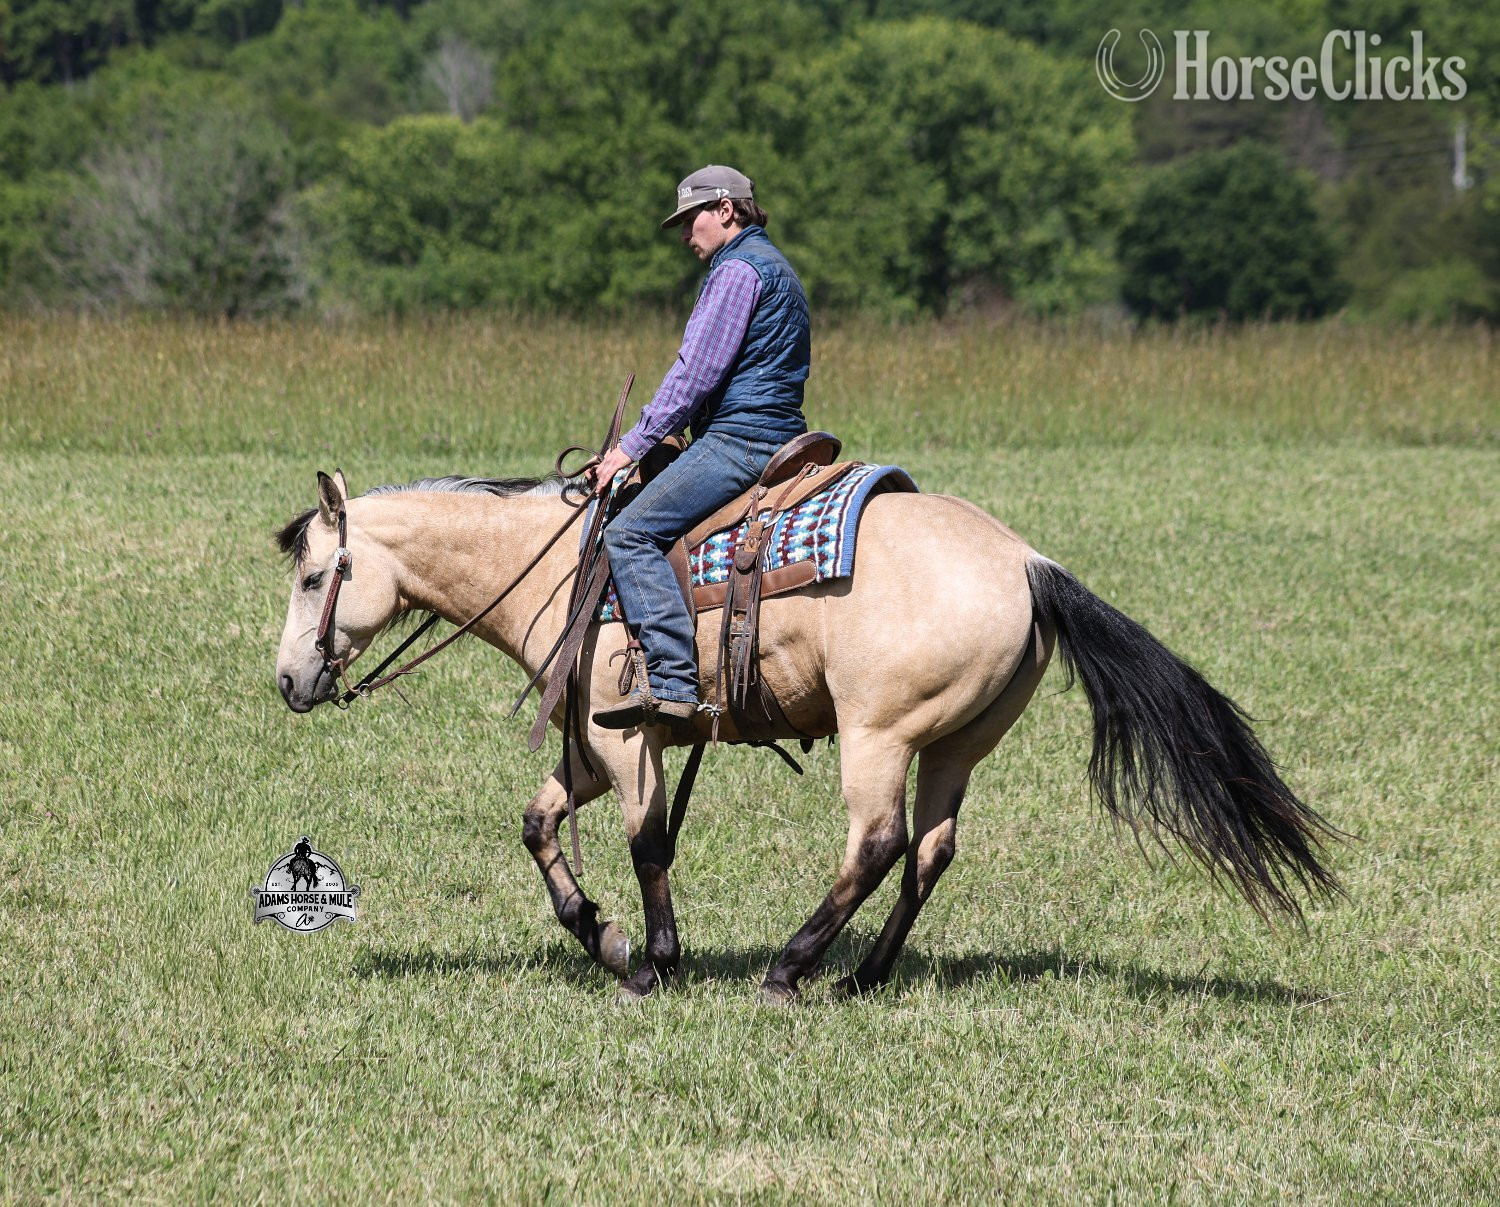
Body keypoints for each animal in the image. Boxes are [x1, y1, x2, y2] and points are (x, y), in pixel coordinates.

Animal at [274, 469, 1341, 1002]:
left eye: (315, 575)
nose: (288, 680)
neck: (561, 567)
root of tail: (1030, 563)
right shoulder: (587, 748)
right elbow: (539, 825)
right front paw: (603, 936)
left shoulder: (627, 741)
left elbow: (647, 840)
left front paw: (653, 961)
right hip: (958, 744)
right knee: (932, 848)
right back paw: (865, 974)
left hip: (880, 735)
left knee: (876, 842)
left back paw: (792, 968)